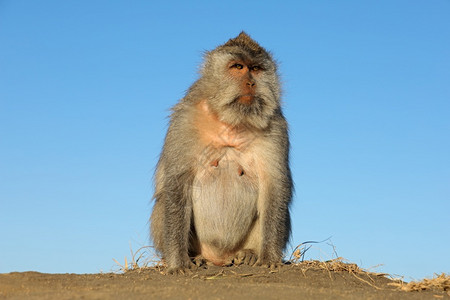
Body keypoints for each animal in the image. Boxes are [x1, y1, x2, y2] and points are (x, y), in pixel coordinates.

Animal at [149, 31, 294, 274]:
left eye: (256, 69)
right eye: (237, 67)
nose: (251, 82)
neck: (231, 122)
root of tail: (219, 258)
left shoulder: (276, 127)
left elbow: (274, 185)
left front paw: (269, 257)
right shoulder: (185, 120)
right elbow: (177, 183)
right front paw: (178, 262)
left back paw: (249, 254)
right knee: (163, 203)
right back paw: (196, 257)